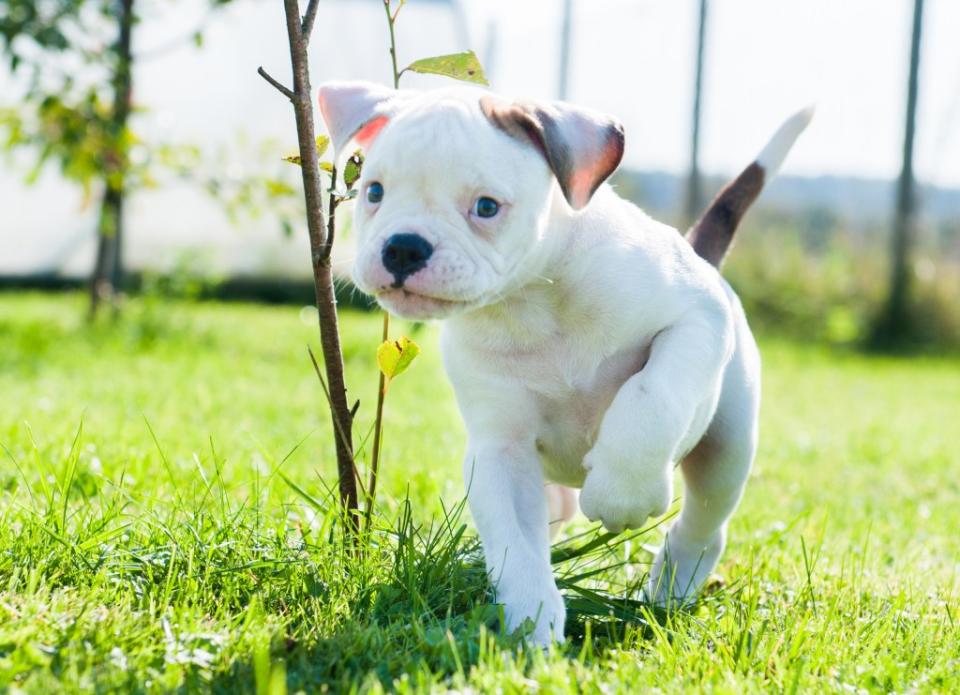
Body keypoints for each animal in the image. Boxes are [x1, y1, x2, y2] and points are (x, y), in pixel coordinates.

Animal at [320, 83, 808, 648]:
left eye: (486, 207)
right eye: (374, 192)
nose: (403, 247)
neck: (532, 300)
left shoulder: (695, 318)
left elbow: (652, 395)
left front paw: (623, 490)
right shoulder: (501, 451)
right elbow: (515, 542)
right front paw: (531, 618)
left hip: (726, 446)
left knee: (705, 523)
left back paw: (673, 585)